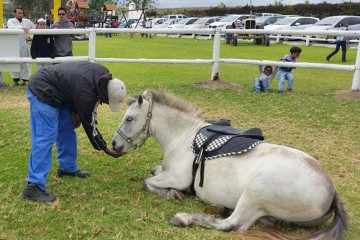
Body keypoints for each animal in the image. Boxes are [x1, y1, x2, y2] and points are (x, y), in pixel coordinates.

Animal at [113, 91, 348, 239]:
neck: (183, 137)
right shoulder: (167, 172)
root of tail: (330, 189)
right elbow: (154, 171)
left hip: (254, 192)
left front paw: (173, 194)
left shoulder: (176, 178)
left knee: (233, 224)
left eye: (130, 118)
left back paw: (184, 218)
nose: (114, 145)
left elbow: (147, 181)